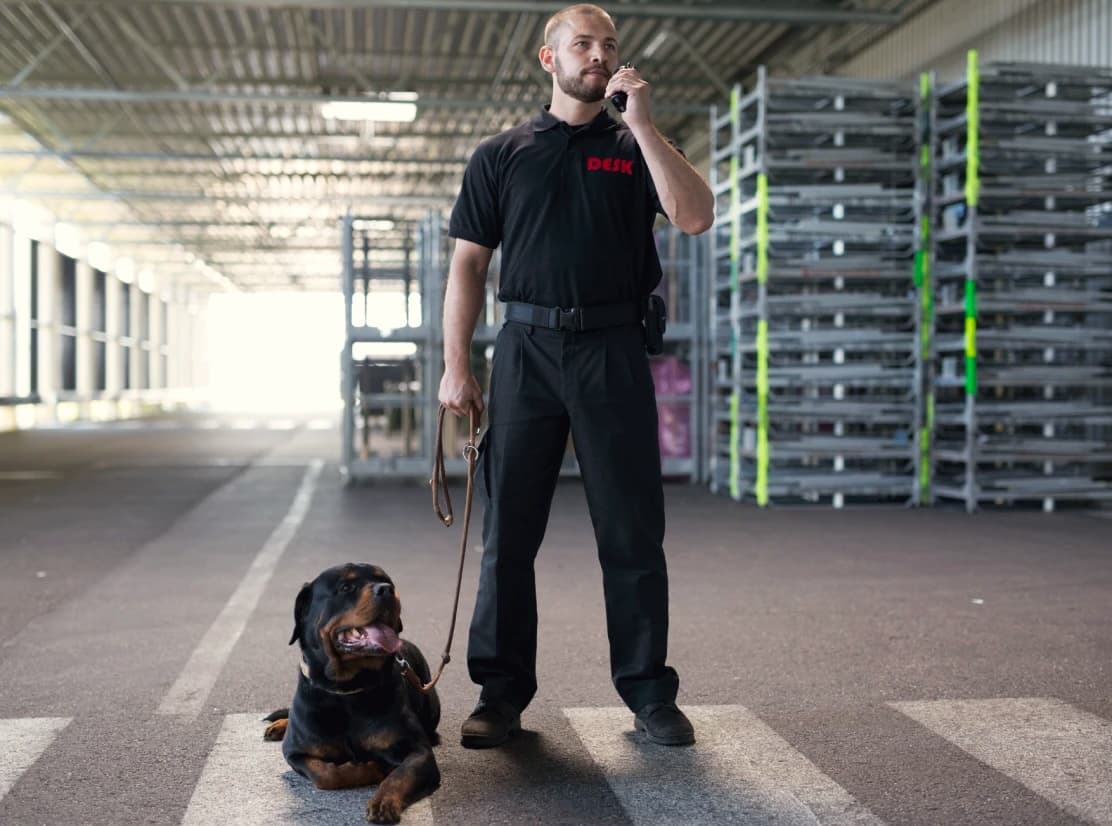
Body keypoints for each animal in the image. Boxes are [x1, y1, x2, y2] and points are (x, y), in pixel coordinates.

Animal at [262, 564, 440, 822]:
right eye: (346, 587)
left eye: (388, 581)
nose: (387, 590)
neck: (347, 691)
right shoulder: (295, 752)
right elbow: (326, 775)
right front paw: (368, 768)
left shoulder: (419, 752)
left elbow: (401, 775)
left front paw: (384, 801)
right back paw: (279, 725)